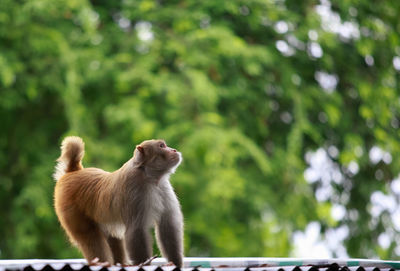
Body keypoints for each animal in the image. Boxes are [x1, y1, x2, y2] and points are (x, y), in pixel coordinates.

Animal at [53, 137, 184, 268]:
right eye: (162, 146)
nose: (173, 150)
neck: (150, 177)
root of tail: (73, 172)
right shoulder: (135, 191)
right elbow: (136, 230)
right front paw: (144, 263)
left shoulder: (164, 187)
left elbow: (168, 226)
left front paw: (175, 263)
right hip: (70, 209)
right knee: (90, 237)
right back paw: (100, 262)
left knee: (113, 239)